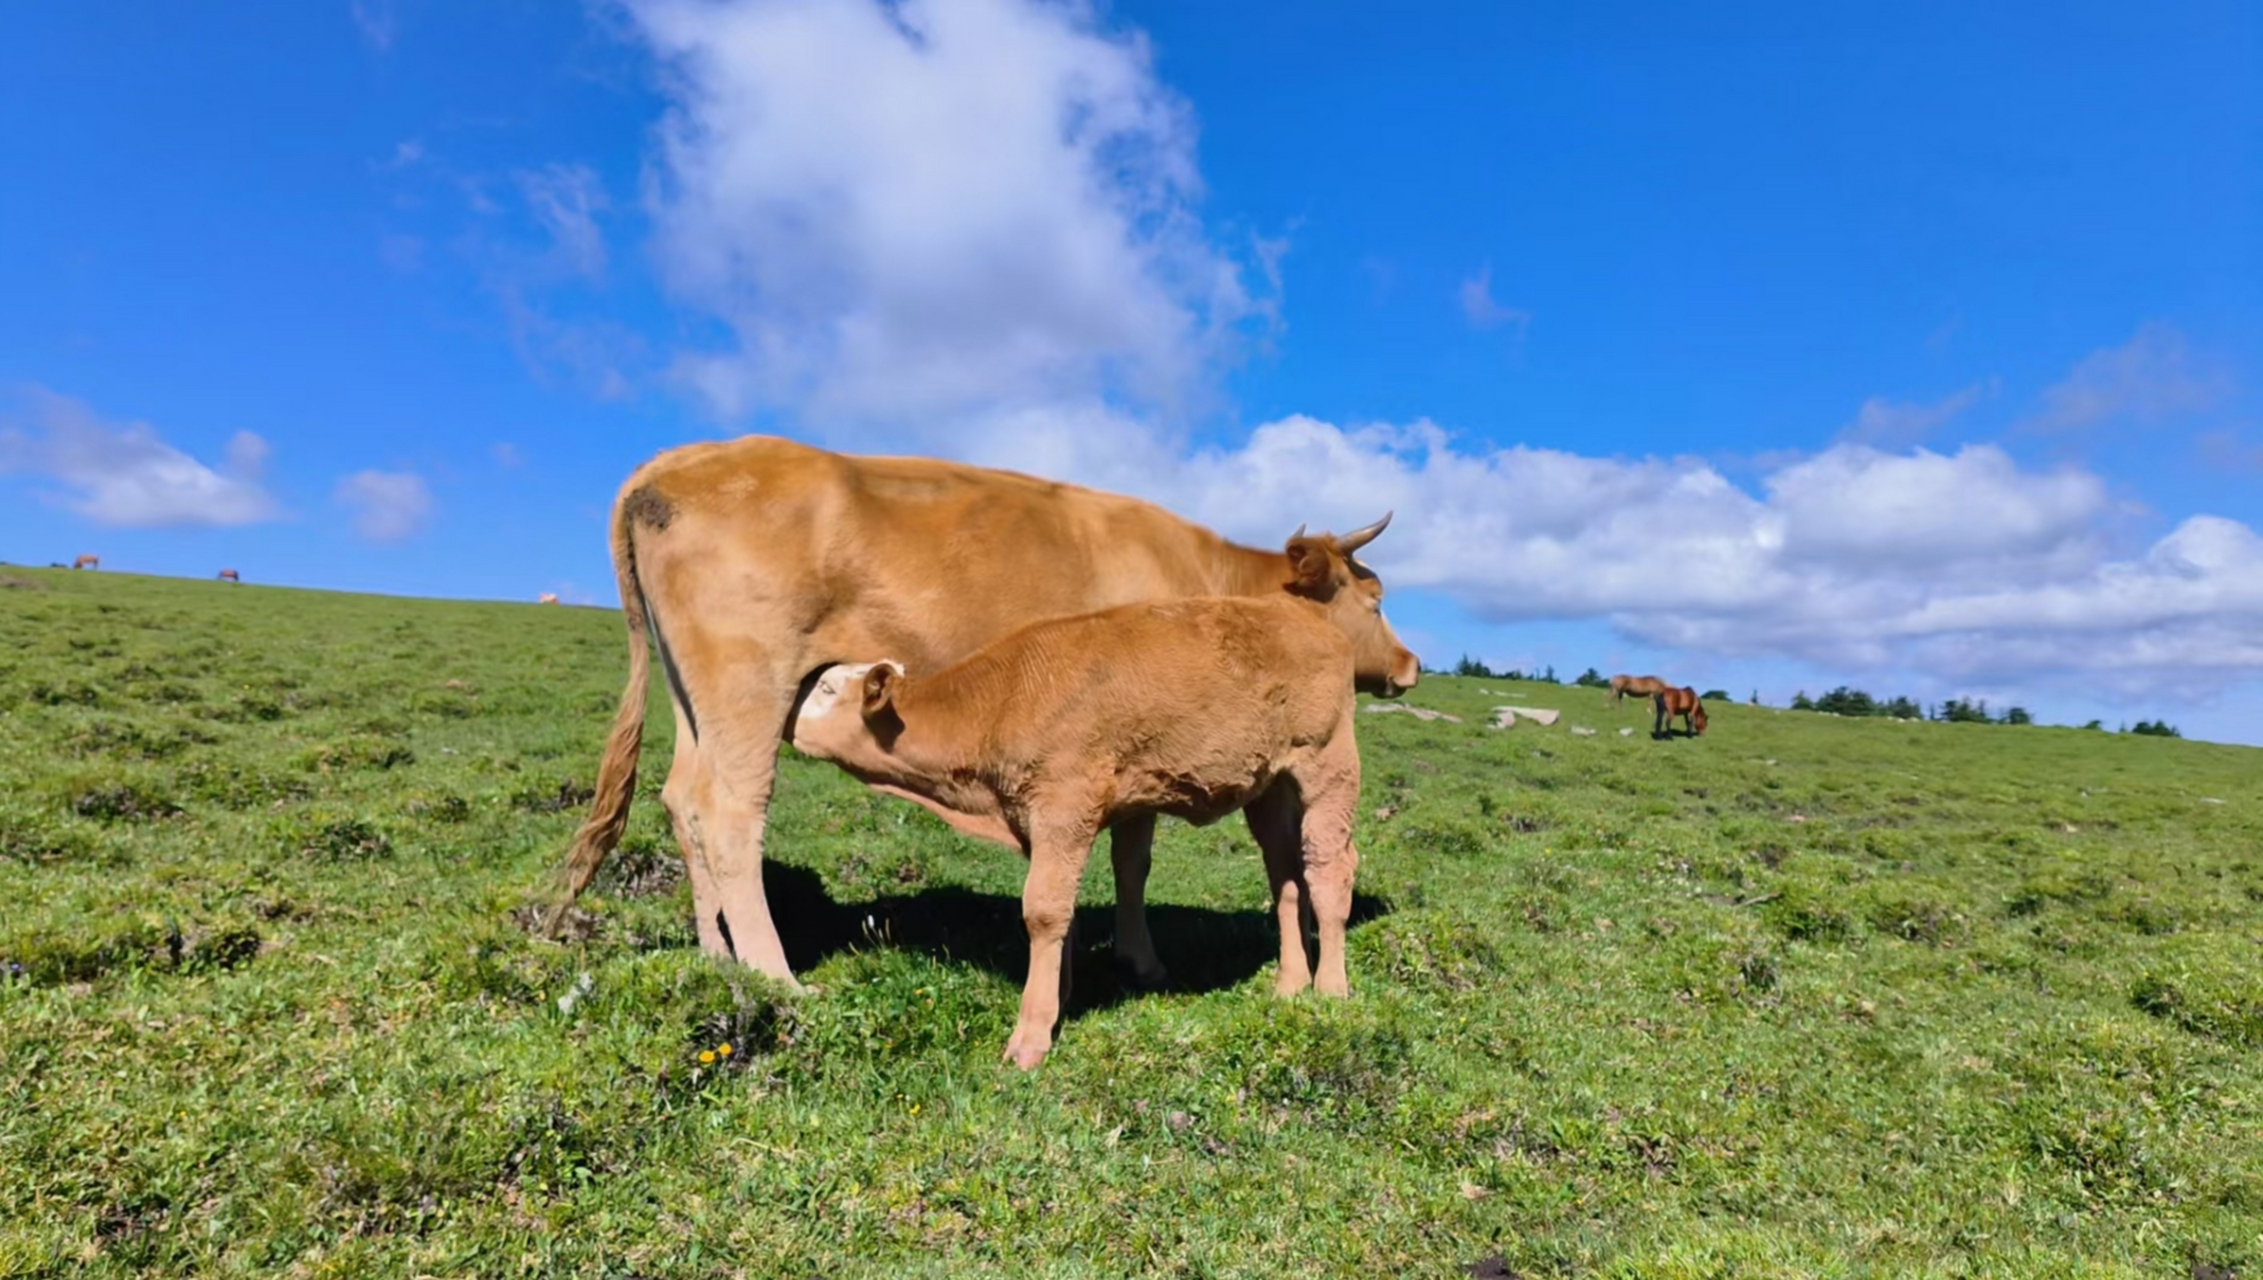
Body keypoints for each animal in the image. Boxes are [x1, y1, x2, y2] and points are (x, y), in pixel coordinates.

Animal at [545, 434, 1412, 995]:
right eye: (1373, 600)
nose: (1409, 665)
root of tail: (673, 462)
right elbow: (1132, 855)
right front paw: (1140, 959)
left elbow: (1124, 857)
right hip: (746, 688)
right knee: (730, 813)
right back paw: (776, 974)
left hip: (695, 700)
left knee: (683, 802)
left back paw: (716, 955)